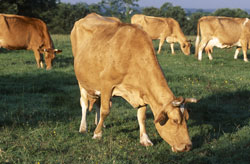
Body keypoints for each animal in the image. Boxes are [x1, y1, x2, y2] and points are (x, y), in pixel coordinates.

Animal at [70, 13, 197, 152]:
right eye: (174, 120)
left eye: (187, 118)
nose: (188, 146)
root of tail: (89, 15)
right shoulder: (106, 85)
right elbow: (105, 110)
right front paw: (97, 134)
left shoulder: (142, 92)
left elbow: (142, 117)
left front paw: (145, 139)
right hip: (81, 80)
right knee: (84, 103)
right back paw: (84, 127)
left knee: (97, 103)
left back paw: (99, 124)